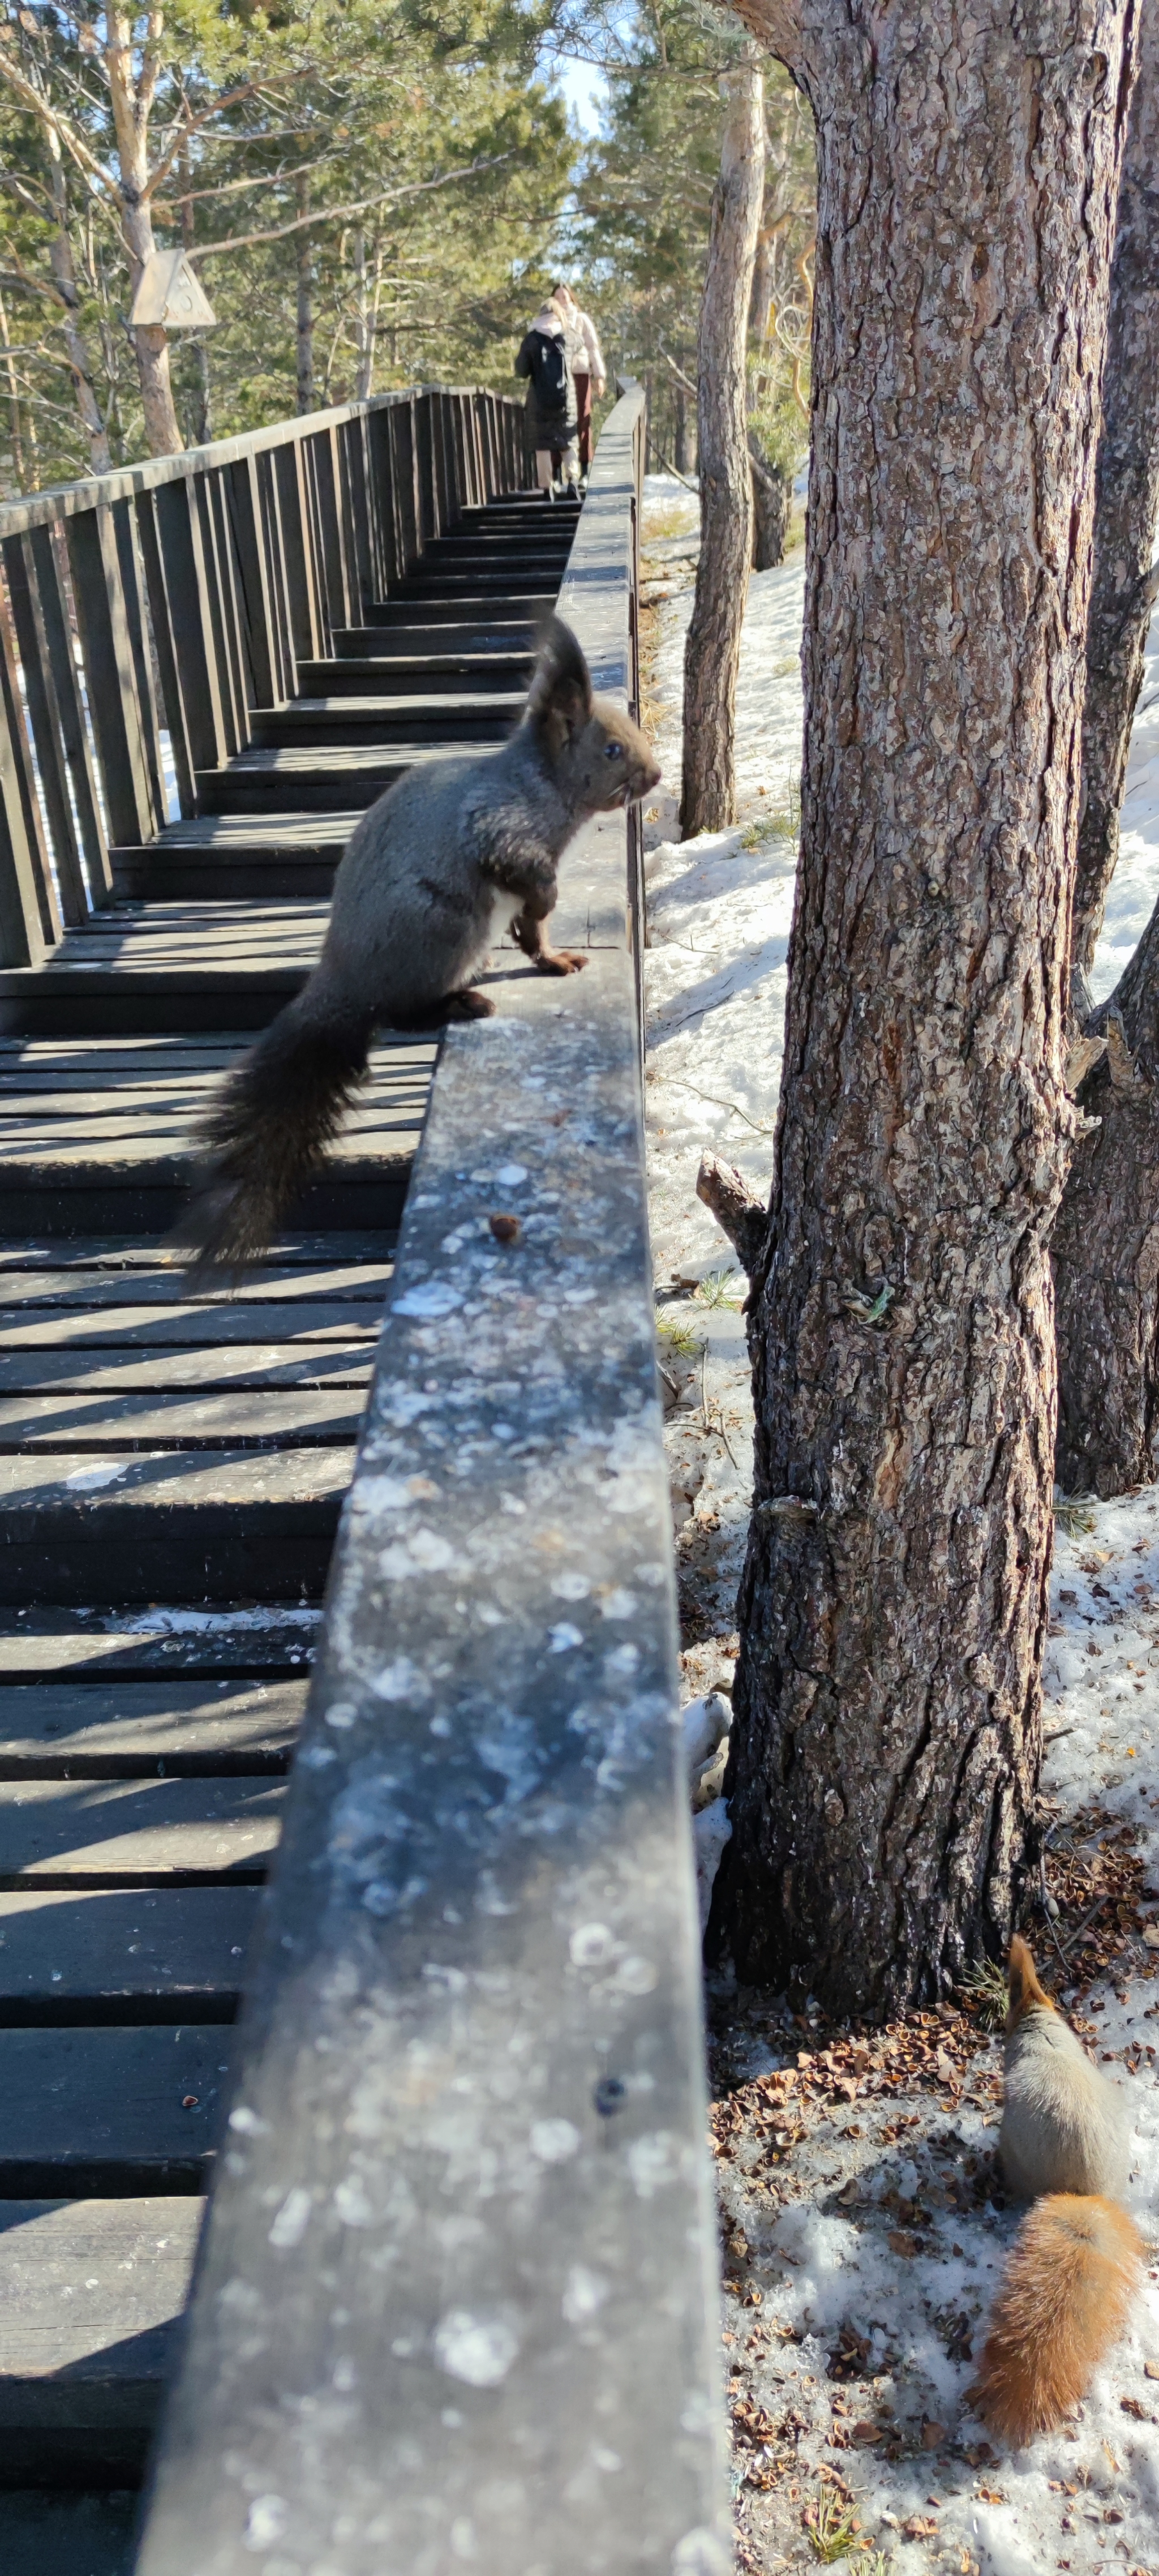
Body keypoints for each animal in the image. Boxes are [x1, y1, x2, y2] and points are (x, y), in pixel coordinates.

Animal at [176, 615, 656, 1278]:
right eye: (611, 750)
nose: (655, 776)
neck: (541, 786)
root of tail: (342, 983)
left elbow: (534, 932)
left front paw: (552, 957)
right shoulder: (501, 829)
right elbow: (532, 886)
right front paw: (544, 914)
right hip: (445, 930)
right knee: (400, 1013)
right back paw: (461, 1003)